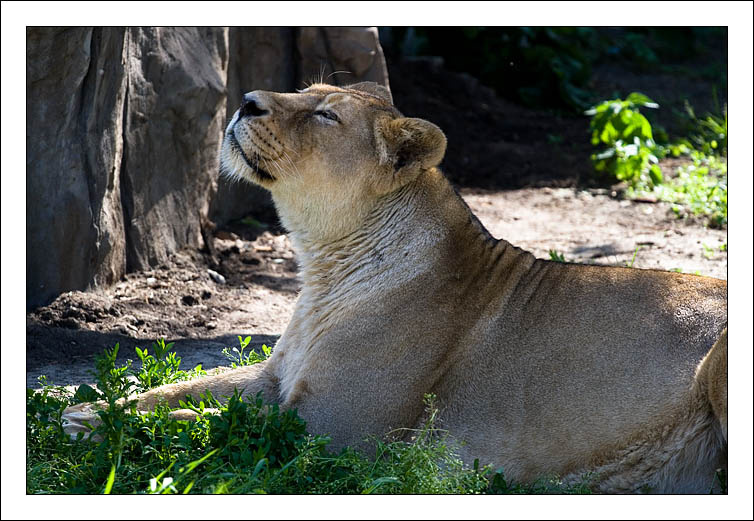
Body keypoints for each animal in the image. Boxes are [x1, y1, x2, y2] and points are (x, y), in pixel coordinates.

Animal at [63, 82, 727, 493]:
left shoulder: (334, 431)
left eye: (325, 115)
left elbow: (201, 424)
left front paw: (90, 430)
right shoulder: (272, 381)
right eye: (305, 90)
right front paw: (87, 407)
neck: (323, 271)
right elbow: (181, 391)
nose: (246, 101)